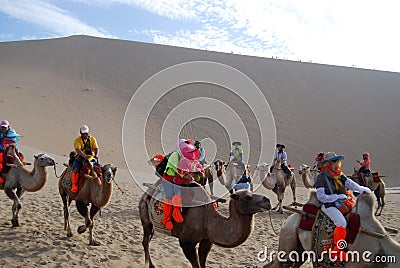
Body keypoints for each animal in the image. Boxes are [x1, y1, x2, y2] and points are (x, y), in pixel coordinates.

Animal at [138, 186, 272, 268]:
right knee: (145, 241)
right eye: (247, 197)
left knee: (148, 240)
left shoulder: (207, 240)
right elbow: (196, 263)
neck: (207, 219)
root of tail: (145, 193)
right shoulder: (186, 242)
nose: (268, 200)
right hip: (145, 217)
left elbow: (202, 260)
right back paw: (150, 265)